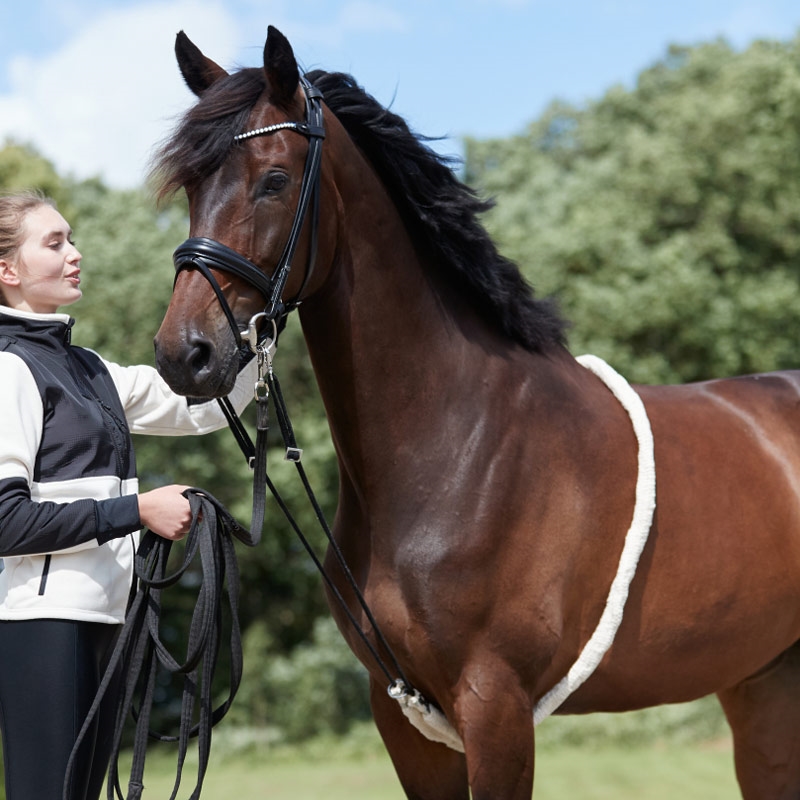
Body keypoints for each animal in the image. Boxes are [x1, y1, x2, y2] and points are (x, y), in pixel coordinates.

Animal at [152, 25, 800, 800]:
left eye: (273, 180)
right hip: (763, 686)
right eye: (192, 186)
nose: (183, 354)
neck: (457, 447)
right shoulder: (404, 713)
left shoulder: (495, 705)